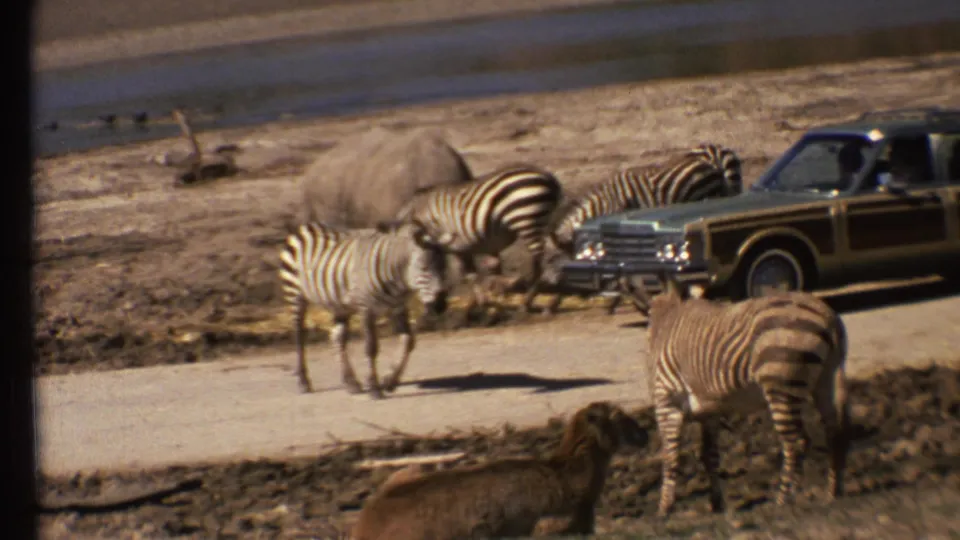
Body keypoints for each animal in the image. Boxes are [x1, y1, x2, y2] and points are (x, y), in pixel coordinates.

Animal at [278, 220, 450, 399]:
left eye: (445, 268)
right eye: (424, 268)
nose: (440, 305)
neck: (398, 279)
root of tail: (304, 227)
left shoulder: (398, 307)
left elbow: (408, 341)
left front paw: (390, 381)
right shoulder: (366, 308)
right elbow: (371, 347)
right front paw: (374, 387)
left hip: (339, 304)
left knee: (337, 337)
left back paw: (351, 382)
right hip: (295, 295)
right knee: (299, 337)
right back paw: (303, 381)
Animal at [384, 162, 564, 318]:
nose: (437, 308)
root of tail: (549, 177)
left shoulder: (446, 244)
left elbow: (460, 273)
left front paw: (477, 305)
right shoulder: (459, 247)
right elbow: (470, 274)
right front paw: (482, 303)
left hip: (527, 220)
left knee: (541, 262)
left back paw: (528, 303)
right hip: (544, 223)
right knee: (556, 255)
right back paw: (553, 301)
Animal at [619, 272, 850, 517]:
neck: (665, 319)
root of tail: (828, 315)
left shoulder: (667, 400)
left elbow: (670, 457)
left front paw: (664, 508)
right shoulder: (708, 410)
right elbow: (709, 455)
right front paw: (716, 504)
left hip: (780, 383)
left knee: (796, 443)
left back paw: (782, 501)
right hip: (826, 380)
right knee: (834, 433)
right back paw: (833, 494)